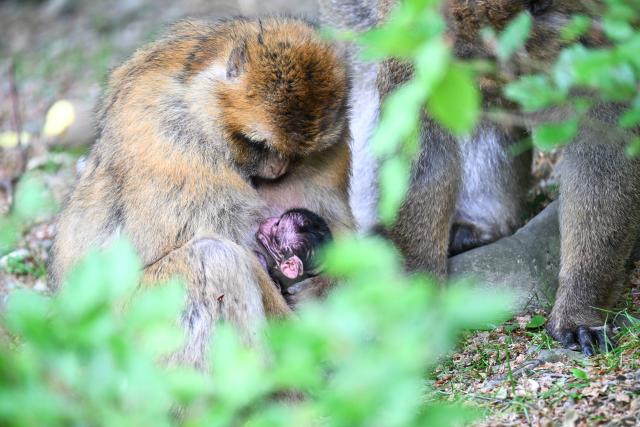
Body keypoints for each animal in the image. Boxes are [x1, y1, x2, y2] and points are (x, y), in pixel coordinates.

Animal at [49, 16, 354, 368]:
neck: (199, 103)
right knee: (213, 257)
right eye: (259, 145)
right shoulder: (174, 144)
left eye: (297, 155)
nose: (278, 170)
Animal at [319, 0, 640, 355]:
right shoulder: (412, 33)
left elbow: (605, 143)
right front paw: (416, 303)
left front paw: (580, 308)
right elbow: (420, 146)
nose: (479, 85)